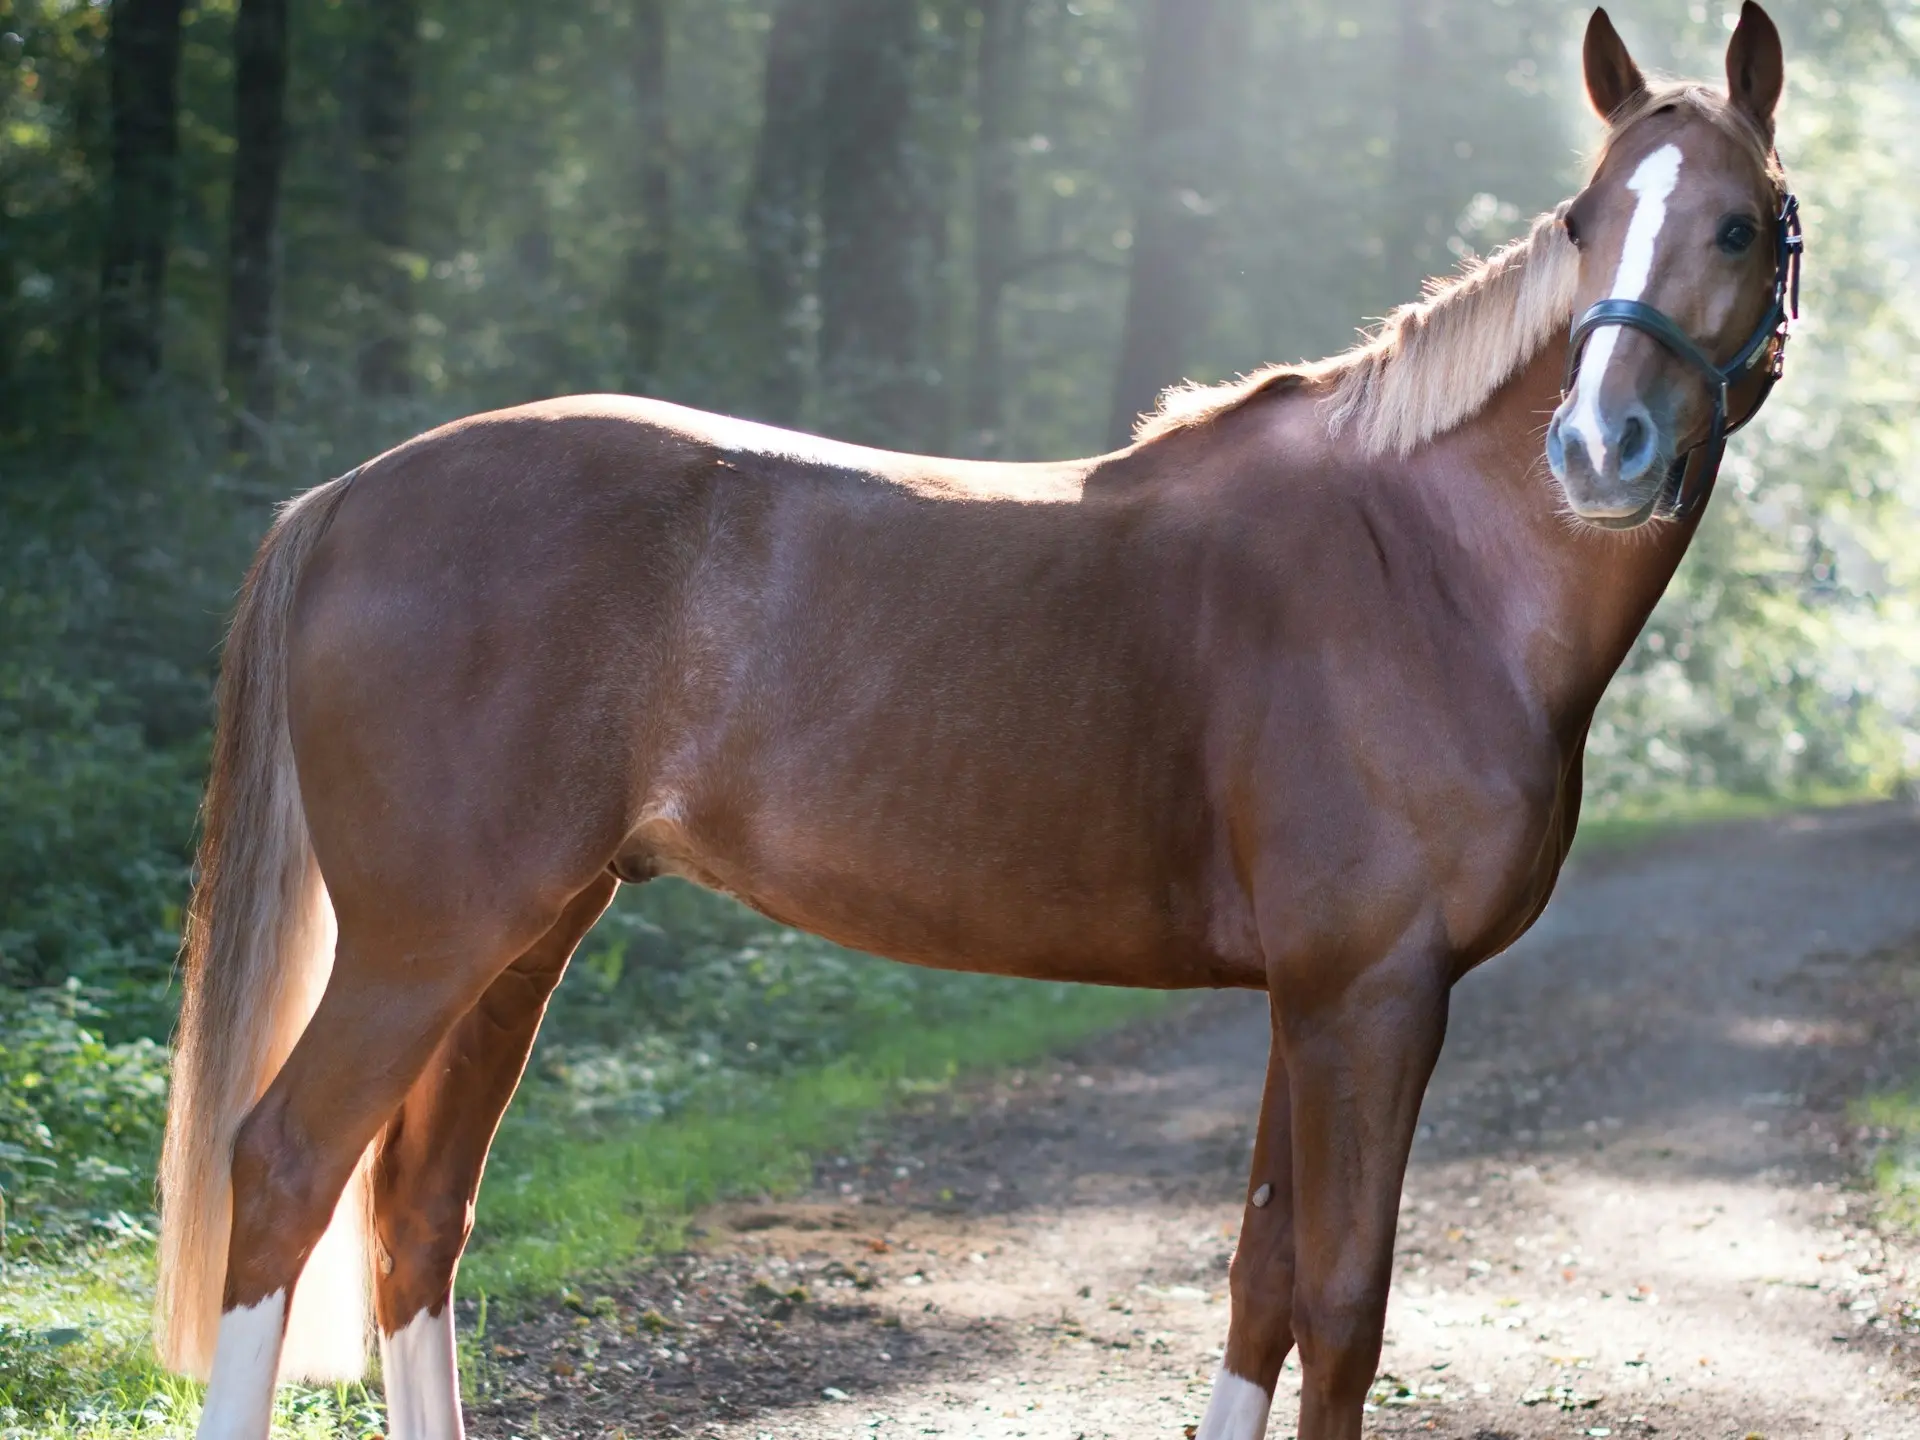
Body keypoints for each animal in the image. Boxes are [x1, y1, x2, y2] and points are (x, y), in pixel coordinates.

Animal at [161, 5, 1797, 1436]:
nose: (1597, 450)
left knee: (418, 1212)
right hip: (423, 945)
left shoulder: (1313, 997)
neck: (1429, 564)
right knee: (289, 1167)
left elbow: (1261, 1284)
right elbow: (1342, 1310)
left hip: (523, 936)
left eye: (1738, 225)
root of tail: (348, 496)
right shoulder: (1376, 995)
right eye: (1585, 220)